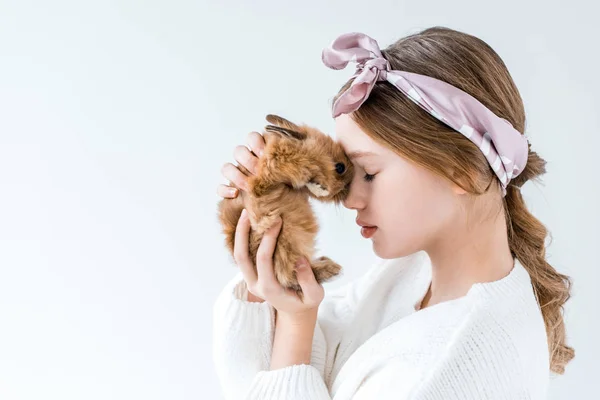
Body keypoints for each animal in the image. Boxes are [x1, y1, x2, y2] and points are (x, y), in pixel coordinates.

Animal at [217, 114, 354, 298]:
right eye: (340, 167)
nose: (348, 188)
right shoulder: (267, 176)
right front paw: (319, 187)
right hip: (286, 241)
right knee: (287, 275)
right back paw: (331, 269)